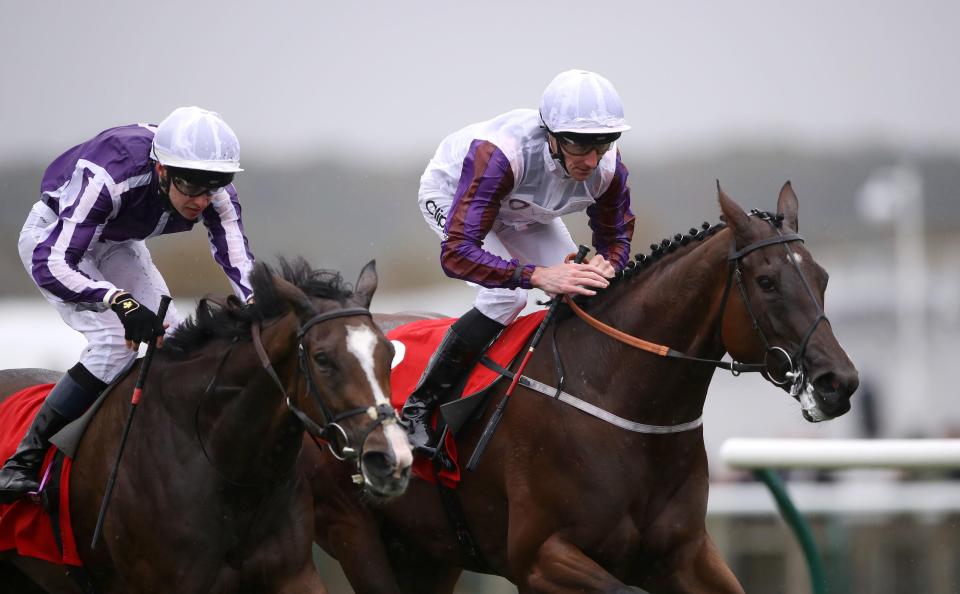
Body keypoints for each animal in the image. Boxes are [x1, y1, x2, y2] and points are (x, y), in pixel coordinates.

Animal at [304, 183, 860, 588]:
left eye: (824, 278)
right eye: (767, 282)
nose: (840, 382)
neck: (620, 398)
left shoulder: (684, 552)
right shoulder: (538, 557)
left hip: (428, 552)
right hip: (354, 530)